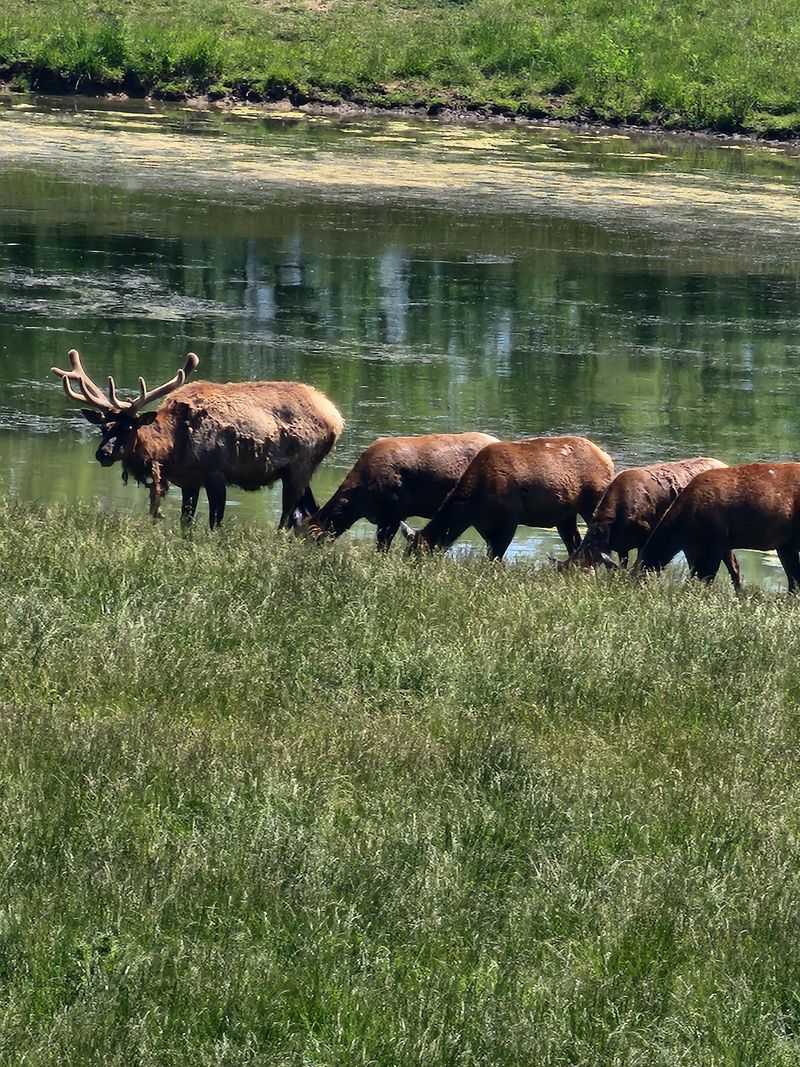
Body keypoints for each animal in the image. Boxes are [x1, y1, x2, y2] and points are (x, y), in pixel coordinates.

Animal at [52, 349, 344, 530]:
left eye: (129, 428)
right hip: (296, 472)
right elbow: (186, 522)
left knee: (288, 515)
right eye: (104, 428)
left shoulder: (215, 473)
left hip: (301, 466)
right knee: (307, 511)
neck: (171, 450)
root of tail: (337, 418)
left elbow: (215, 523)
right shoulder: (188, 481)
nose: (102, 453)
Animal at [402, 436, 614, 560]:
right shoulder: (483, 524)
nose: (407, 569)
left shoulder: (509, 519)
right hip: (565, 515)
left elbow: (496, 556)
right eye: (406, 552)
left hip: (592, 501)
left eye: (417, 555)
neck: (470, 506)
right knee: (574, 543)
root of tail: (608, 459)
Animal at [634, 462, 800, 590]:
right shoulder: (717, 544)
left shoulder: (714, 542)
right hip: (785, 544)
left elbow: (706, 576)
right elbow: (726, 570)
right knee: (793, 578)